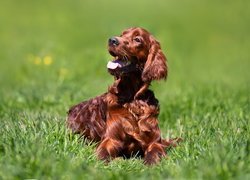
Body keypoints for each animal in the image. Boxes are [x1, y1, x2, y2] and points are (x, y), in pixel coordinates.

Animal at [67, 27, 180, 165]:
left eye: (137, 39)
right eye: (122, 34)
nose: (112, 40)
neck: (132, 100)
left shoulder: (154, 141)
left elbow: (154, 151)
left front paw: (151, 163)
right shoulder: (111, 139)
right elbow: (102, 153)